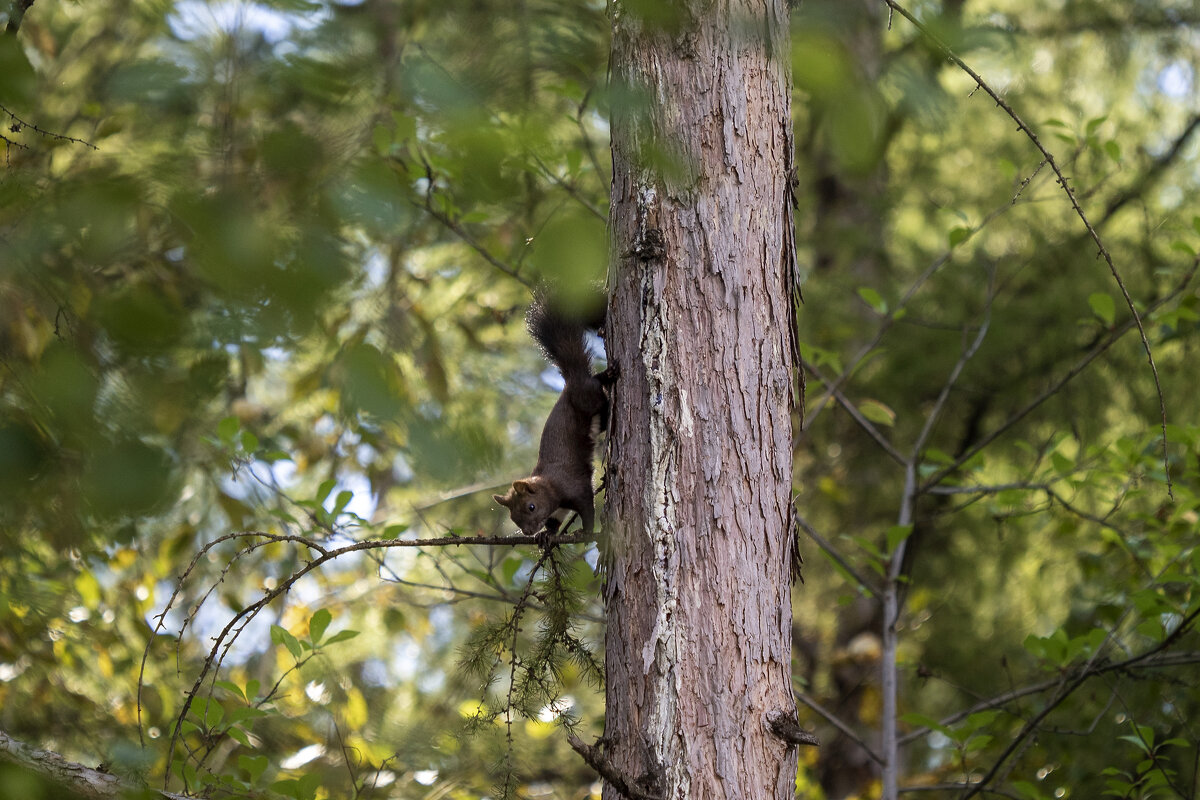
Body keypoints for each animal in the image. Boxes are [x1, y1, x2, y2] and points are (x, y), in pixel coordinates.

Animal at [492, 297, 619, 542]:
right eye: (513, 517)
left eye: (531, 507)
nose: (528, 532)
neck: (550, 487)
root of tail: (569, 381)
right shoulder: (558, 509)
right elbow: (554, 521)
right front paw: (546, 535)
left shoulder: (576, 488)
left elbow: (587, 510)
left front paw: (586, 531)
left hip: (587, 398)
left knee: (594, 383)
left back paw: (608, 374)